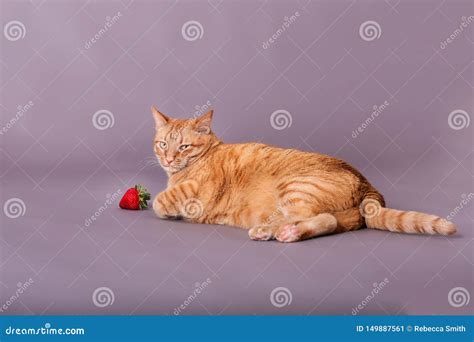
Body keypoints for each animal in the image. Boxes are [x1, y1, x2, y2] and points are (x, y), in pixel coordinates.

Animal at [152, 107, 456, 243]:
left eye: (183, 147)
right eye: (163, 144)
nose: (168, 158)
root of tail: (366, 182)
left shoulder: (197, 192)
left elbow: (160, 200)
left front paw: (162, 205)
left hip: (295, 186)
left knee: (315, 218)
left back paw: (277, 231)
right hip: (337, 211)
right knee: (331, 221)